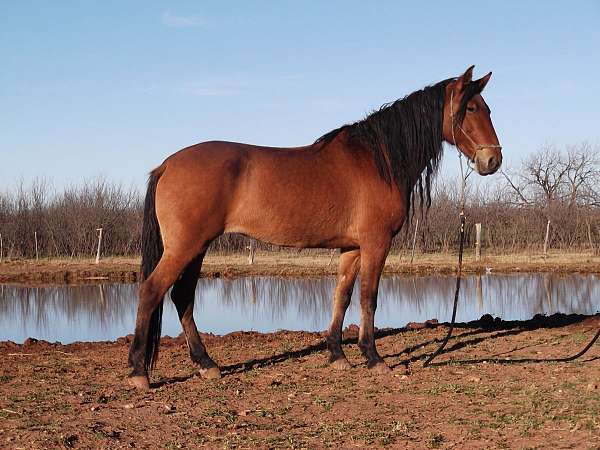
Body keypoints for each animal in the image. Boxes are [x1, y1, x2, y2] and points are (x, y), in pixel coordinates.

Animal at [126, 65, 502, 388]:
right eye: (471, 108)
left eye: (488, 109)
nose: (493, 160)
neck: (377, 159)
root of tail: (167, 165)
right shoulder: (376, 242)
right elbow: (368, 297)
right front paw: (373, 358)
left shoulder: (351, 247)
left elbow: (342, 296)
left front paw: (337, 355)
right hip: (185, 246)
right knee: (152, 291)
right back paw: (139, 372)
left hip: (198, 247)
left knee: (182, 297)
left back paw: (206, 364)